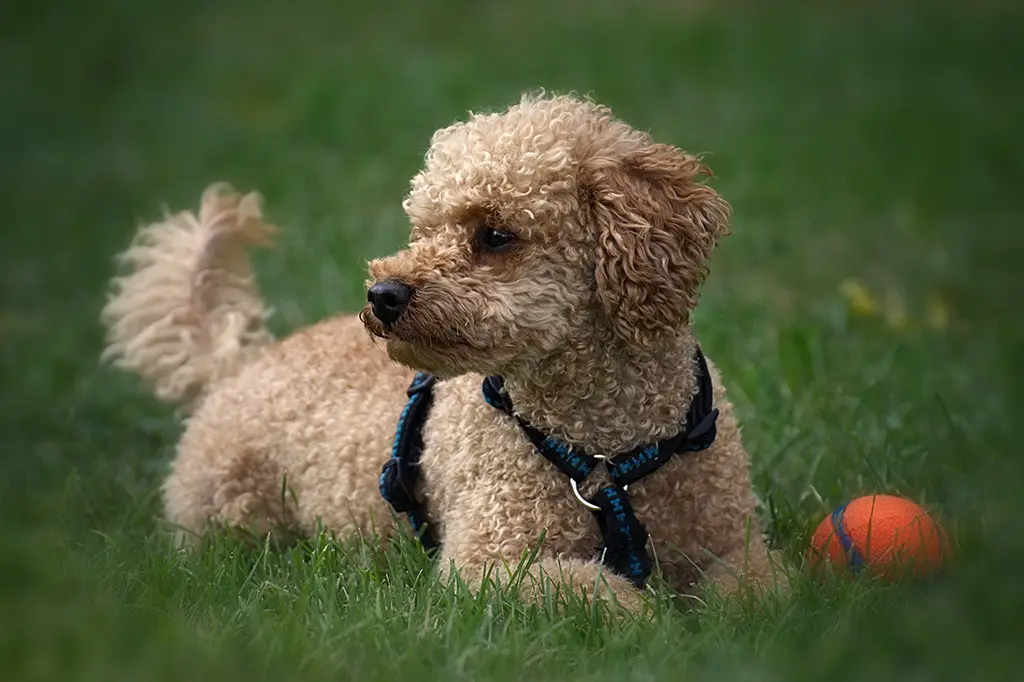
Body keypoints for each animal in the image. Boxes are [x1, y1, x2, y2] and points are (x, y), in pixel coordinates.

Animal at [101, 91, 774, 610]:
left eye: (495, 235)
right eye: (424, 230)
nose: (382, 294)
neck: (606, 451)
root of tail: (238, 364)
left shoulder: (730, 539)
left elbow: (758, 592)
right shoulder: (491, 562)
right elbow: (595, 593)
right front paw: (652, 619)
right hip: (227, 514)